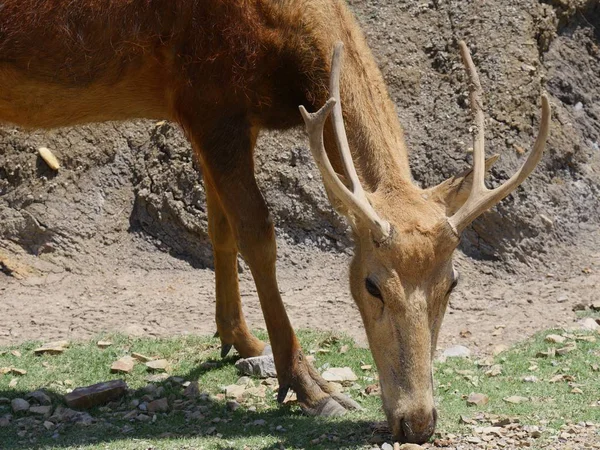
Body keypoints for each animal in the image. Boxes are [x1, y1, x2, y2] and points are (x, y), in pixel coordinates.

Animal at [0, 0, 548, 444]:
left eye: (453, 283)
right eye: (371, 285)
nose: (417, 422)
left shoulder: (219, 120)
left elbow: (218, 228)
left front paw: (237, 340)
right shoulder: (209, 100)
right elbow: (258, 235)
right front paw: (312, 388)